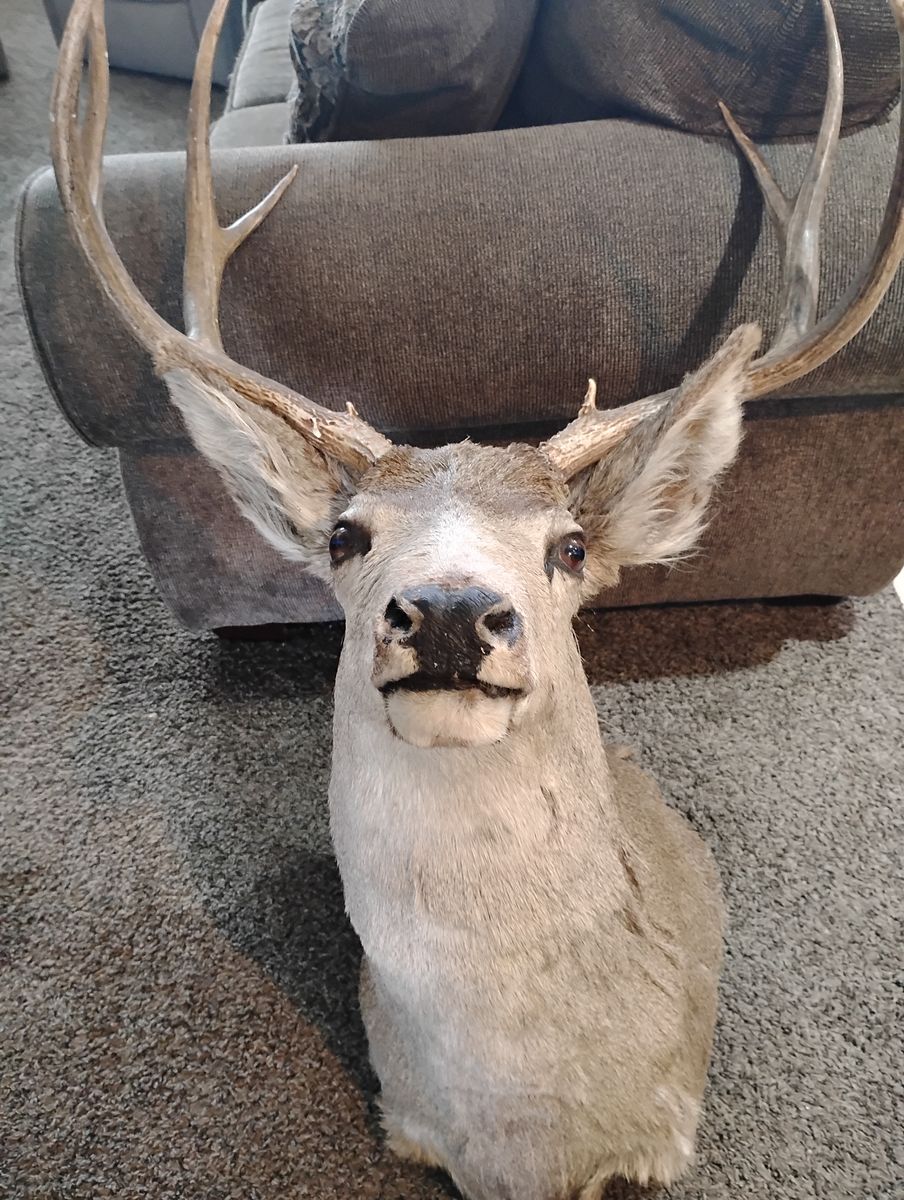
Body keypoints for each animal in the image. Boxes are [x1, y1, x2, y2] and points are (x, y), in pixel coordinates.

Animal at [50, 0, 904, 1196]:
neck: (522, 1138)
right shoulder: (409, 1122)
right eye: (345, 536)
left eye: (570, 545)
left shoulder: (661, 1137)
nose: (451, 612)